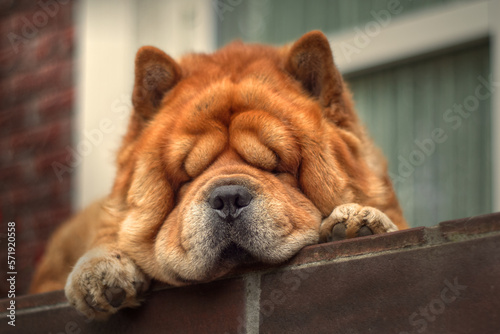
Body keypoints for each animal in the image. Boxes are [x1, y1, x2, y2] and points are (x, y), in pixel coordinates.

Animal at [30, 30, 406, 318]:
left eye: (278, 167)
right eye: (186, 177)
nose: (228, 198)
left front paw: (359, 220)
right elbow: (111, 236)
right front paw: (100, 270)